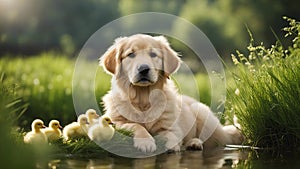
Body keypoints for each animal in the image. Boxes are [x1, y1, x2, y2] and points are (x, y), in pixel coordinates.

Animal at [99, 33, 243, 152]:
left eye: (153, 54)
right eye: (131, 54)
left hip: (204, 117)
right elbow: (135, 125)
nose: (144, 69)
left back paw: (195, 143)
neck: (143, 99)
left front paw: (171, 145)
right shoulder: (115, 121)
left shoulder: (172, 126)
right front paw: (146, 142)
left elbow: (171, 134)